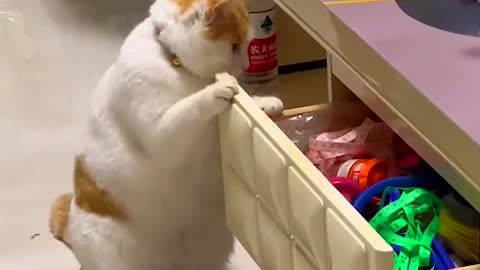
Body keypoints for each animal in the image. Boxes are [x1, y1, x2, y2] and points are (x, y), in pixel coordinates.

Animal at [47, 0, 284, 270]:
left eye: (249, 44)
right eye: (235, 45)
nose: (244, 65)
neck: (172, 60)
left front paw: (265, 103)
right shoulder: (163, 134)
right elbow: (192, 107)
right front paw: (217, 90)